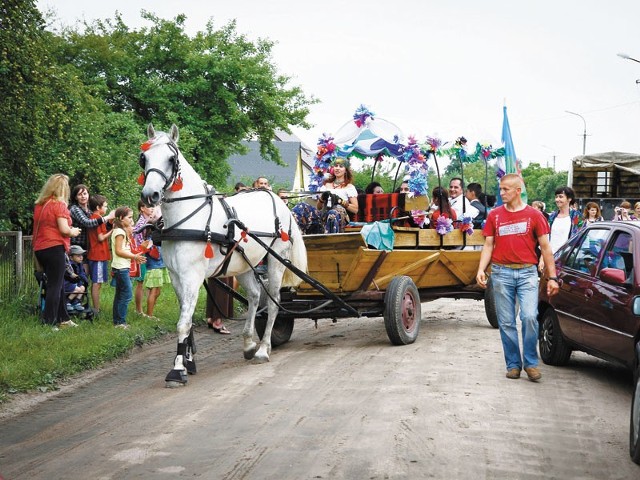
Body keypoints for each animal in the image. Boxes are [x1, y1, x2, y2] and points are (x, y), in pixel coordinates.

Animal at [139, 123, 308, 386]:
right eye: (144, 158)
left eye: (171, 159)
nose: (150, 195)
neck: (188, 217)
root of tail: (279, 201)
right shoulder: (177, 277)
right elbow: (187, 321)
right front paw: (188, 361)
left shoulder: (192, 276)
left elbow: (183, 323)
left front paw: (177, 370)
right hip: (245, 263)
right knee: (254, 296)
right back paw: (248, 343)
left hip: (275, 260)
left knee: (272, 303)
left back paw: (263, 349)